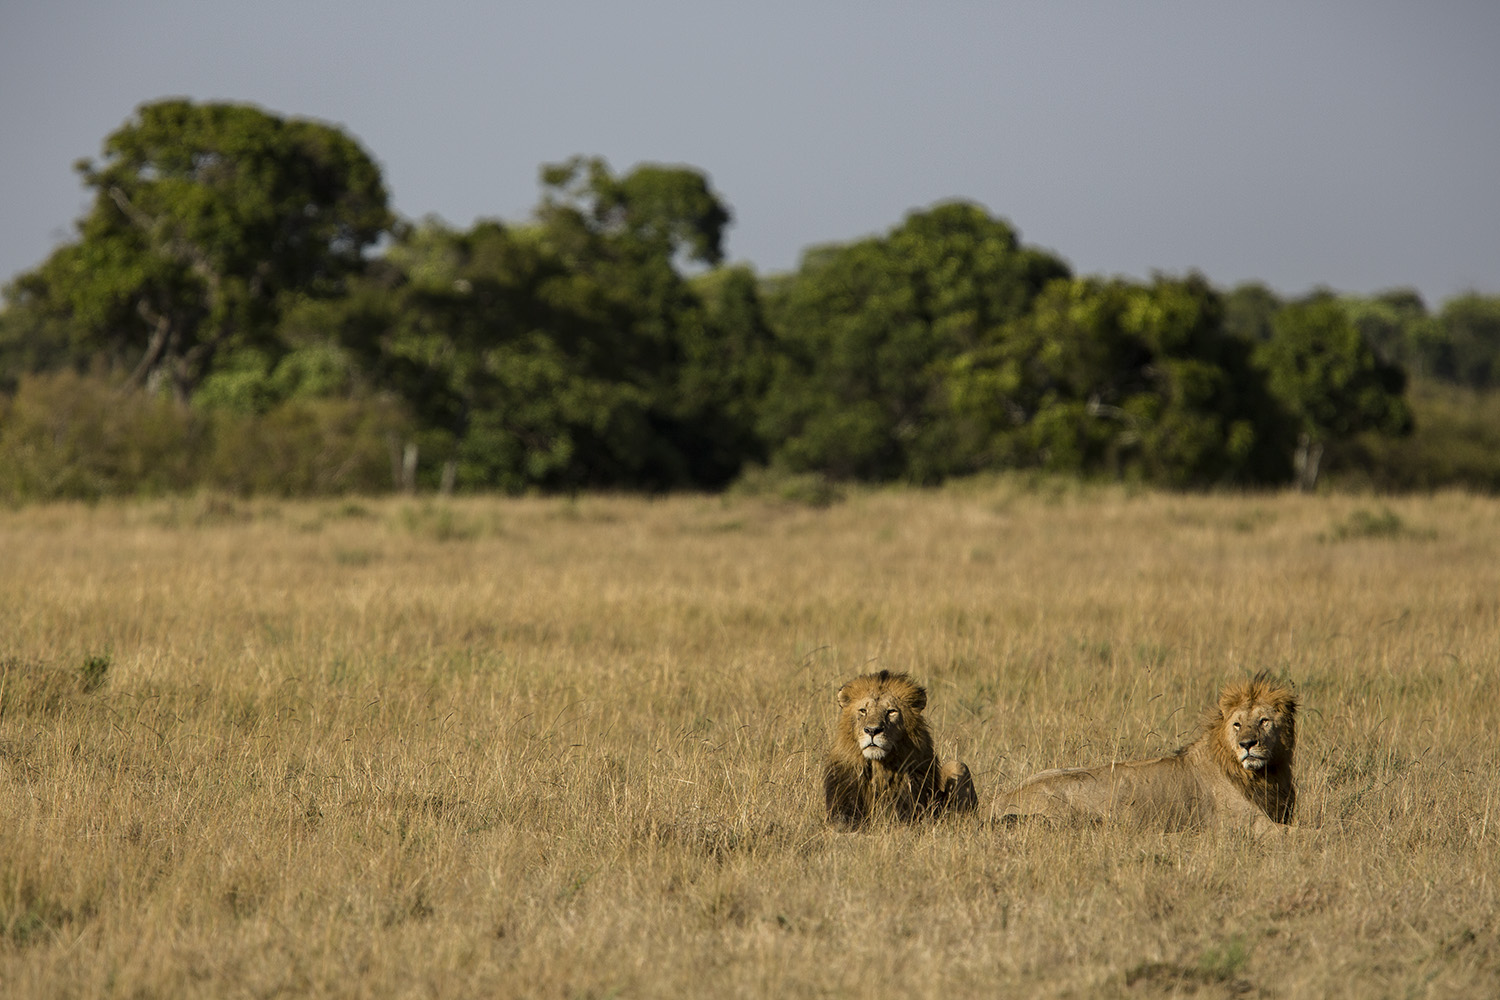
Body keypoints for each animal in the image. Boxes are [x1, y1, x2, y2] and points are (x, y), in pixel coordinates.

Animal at [990, 671, 1296, 839]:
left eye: (1264, 721)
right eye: (1237, 724)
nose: (1247, 744)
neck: (1263, 775)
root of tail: (996, 801)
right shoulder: (1251, 826)